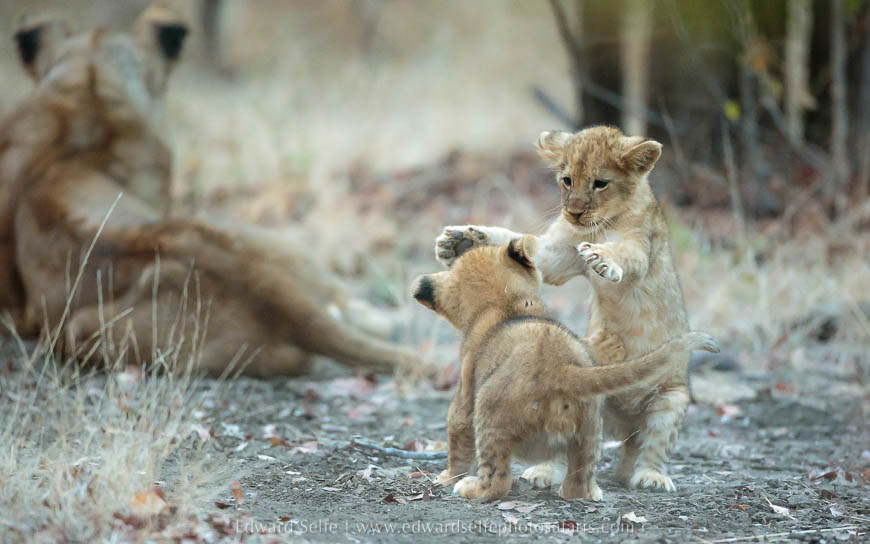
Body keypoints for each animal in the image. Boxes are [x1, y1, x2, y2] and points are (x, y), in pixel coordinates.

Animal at [412, 236, 719, 502]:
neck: (504, 304)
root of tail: (559, 369)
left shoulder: (466, 386)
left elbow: (458, 430)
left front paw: (447, 477)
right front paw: (609, 344)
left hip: (489, 410)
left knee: (497, 479)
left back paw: (470, 488)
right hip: (590, 426)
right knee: (579, 482)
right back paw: (586, 492)